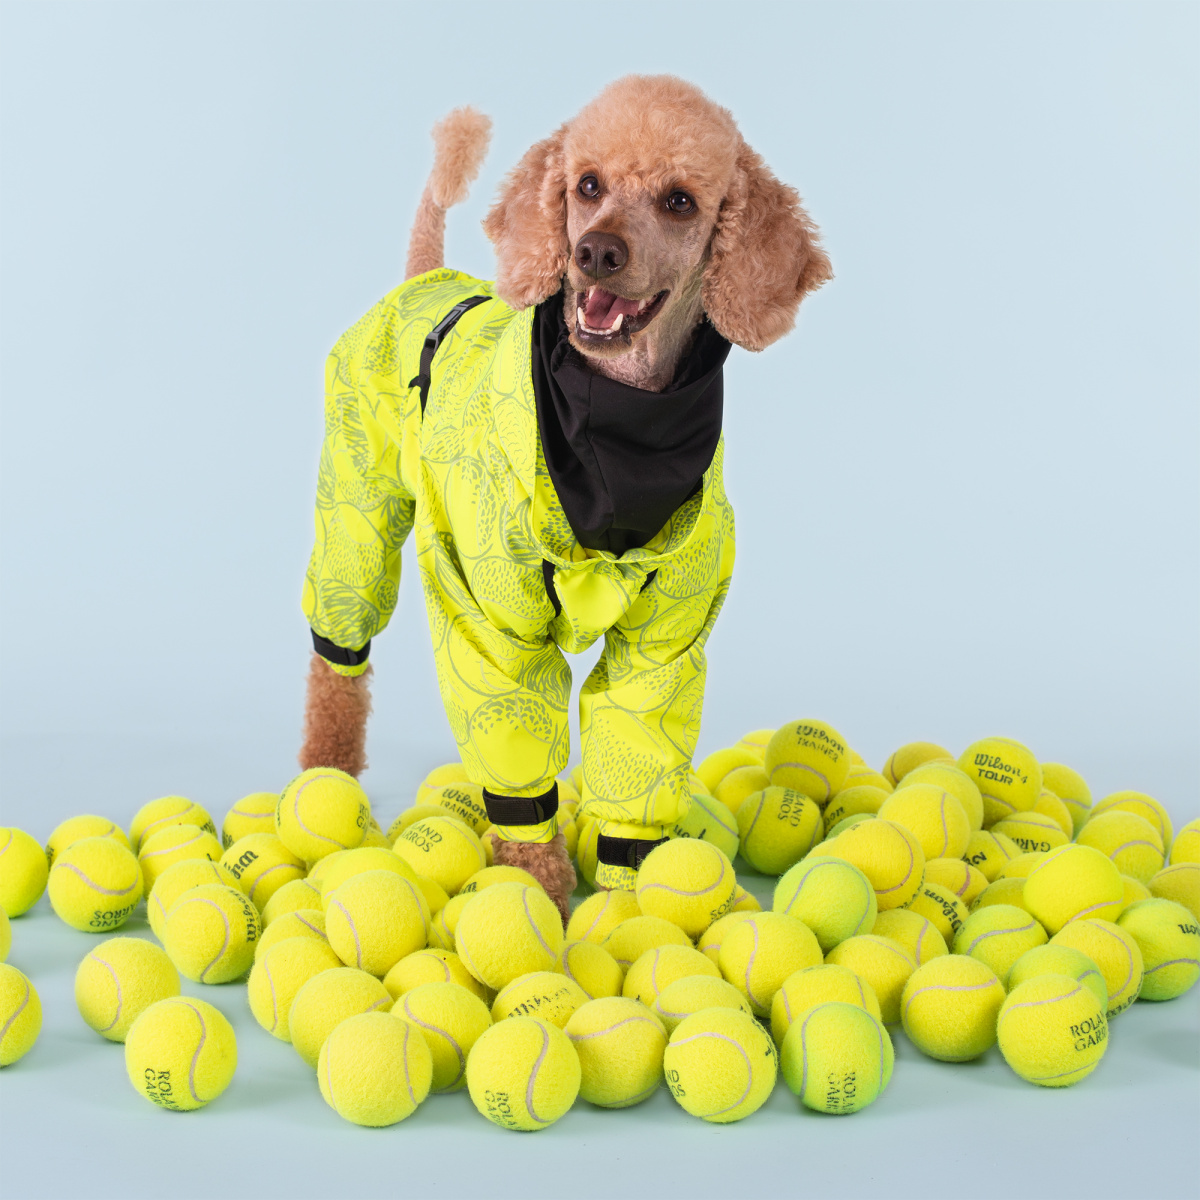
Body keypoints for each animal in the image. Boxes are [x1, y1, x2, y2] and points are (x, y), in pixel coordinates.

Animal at [295, 72, 830, 916]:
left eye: (681, 201)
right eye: (587, 185)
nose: (595, 252)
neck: (616, 430)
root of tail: (424, 277)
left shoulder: (667, 641)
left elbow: (635, 742)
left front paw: (629, 901)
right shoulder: (493, 620)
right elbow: (514, 741)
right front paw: (534, 884)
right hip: (357, 505)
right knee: (338, 649)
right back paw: (326, 770)